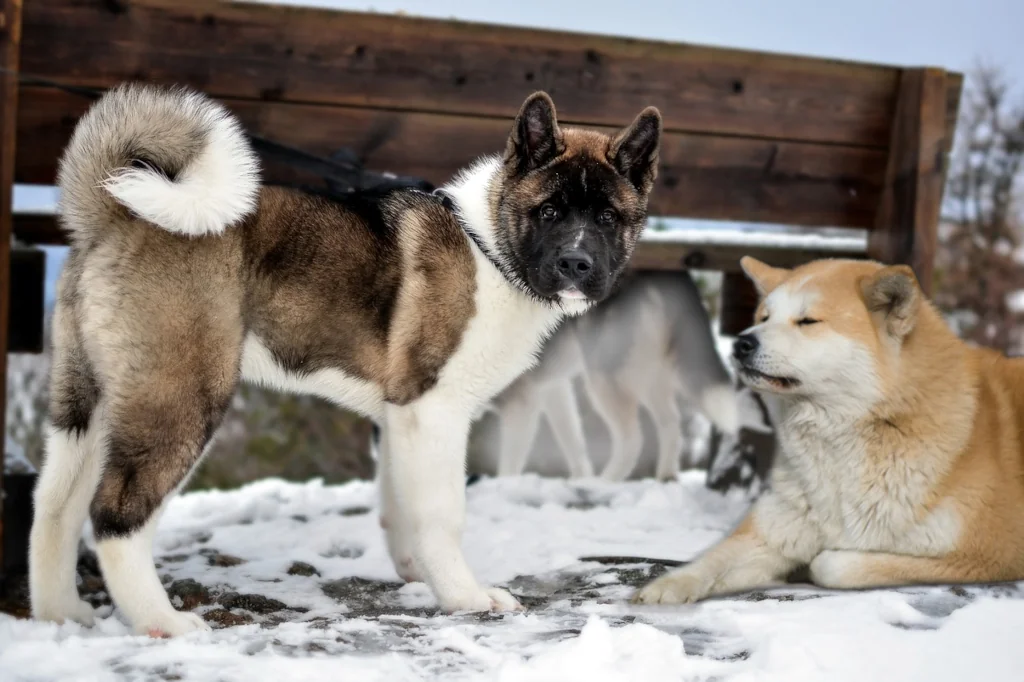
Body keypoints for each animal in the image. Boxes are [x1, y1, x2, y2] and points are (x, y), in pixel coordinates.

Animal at [32, 83, 663, 630]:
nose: (577, 264)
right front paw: (465, 596)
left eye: (607, 217)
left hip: (85, 403)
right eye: (549, 211)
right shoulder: (433, 408)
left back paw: (62, 614)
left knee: (55, 506)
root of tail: (114, 214)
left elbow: (401, 505)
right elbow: (443, 514)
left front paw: (417, 576)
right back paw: (162, 622)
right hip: (182, 397)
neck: (488, 247)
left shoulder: (401, 415)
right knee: (115, 515)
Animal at [634, 254, 1024, 602]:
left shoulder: (985, 555)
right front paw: (666, 587)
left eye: (808, 321)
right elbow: (710, 561)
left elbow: (831, 564)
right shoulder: (774, 529)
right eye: (764, 317)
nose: (741, 343)